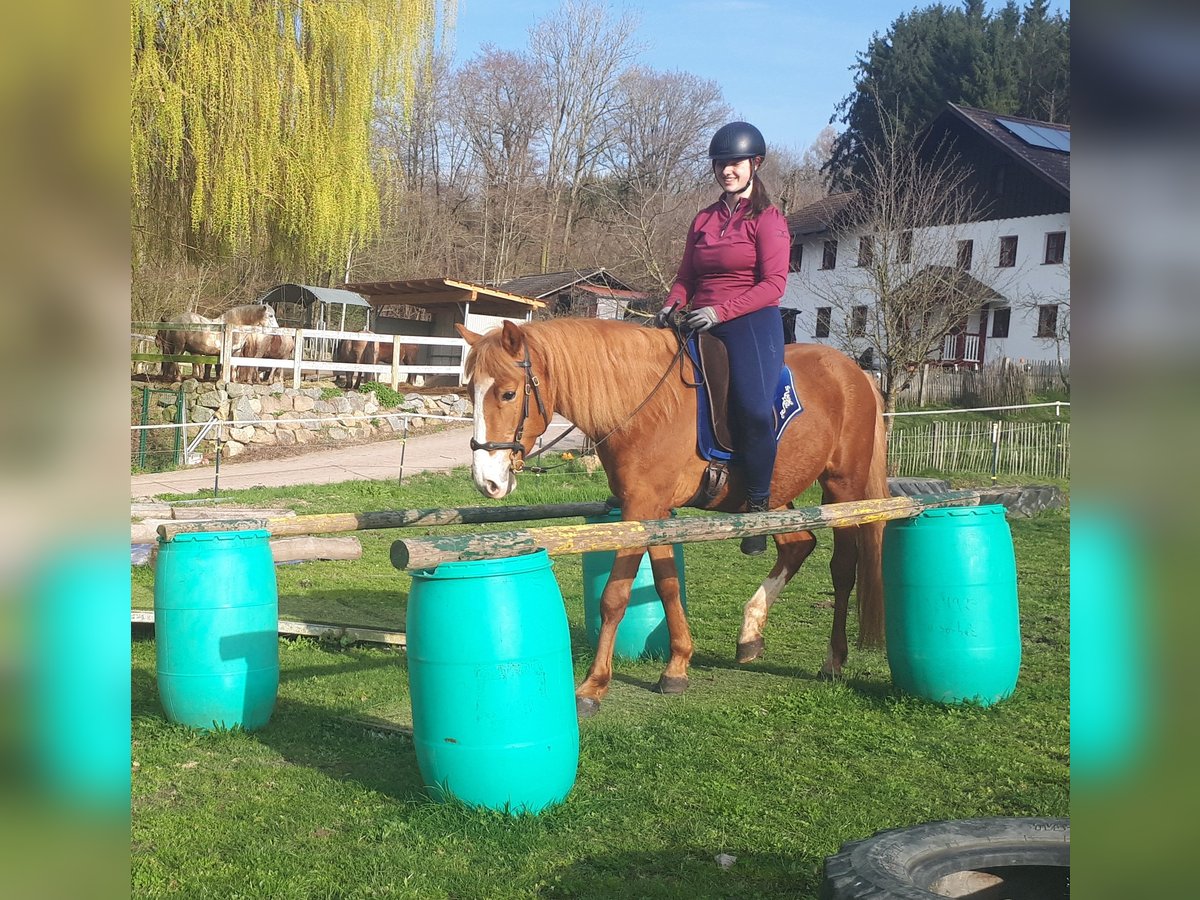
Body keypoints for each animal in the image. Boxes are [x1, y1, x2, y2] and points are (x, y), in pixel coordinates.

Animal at [458, 316, 892, 720]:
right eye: (468, 392)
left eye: (508, 393)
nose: (487, 481)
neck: (642, 404)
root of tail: (855, 373)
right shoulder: (654, 511)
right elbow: (667, 585)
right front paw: (677, 667)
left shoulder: (639, 510)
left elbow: (614, 598)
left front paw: (593, 687)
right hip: (779, 498)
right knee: (799, 545)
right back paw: (750, 634)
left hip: (843, 490)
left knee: (843, 569)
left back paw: (833, 659)